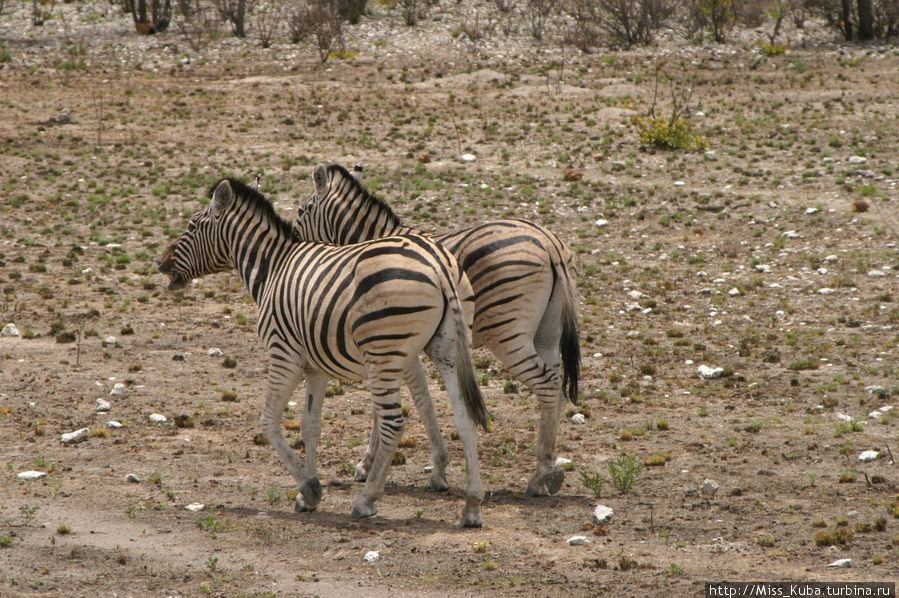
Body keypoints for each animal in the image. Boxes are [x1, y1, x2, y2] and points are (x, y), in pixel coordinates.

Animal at [158, 176, 488, 528]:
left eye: (192, 226)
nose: (159, 262)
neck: (271, 269)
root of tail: (439, 265)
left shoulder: (283, 354)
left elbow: (269, 421)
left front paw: (309, 488)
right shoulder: (314, 367)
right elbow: (310, 425)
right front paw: (308, 492)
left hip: (385, 352)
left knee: (393, 423)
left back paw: (366, 500)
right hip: (447, 349)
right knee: (465, 417)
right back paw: (471, 506)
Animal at [292, 164, 580, 502]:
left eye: (302, 210)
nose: (294, 244)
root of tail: (548, 242)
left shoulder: (393, 343)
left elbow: (413, 402)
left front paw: (374, 465)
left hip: (507, 333)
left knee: (547, 384)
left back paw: (539, 475)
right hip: (547, 332)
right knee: (557, 385)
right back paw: (550, 470)